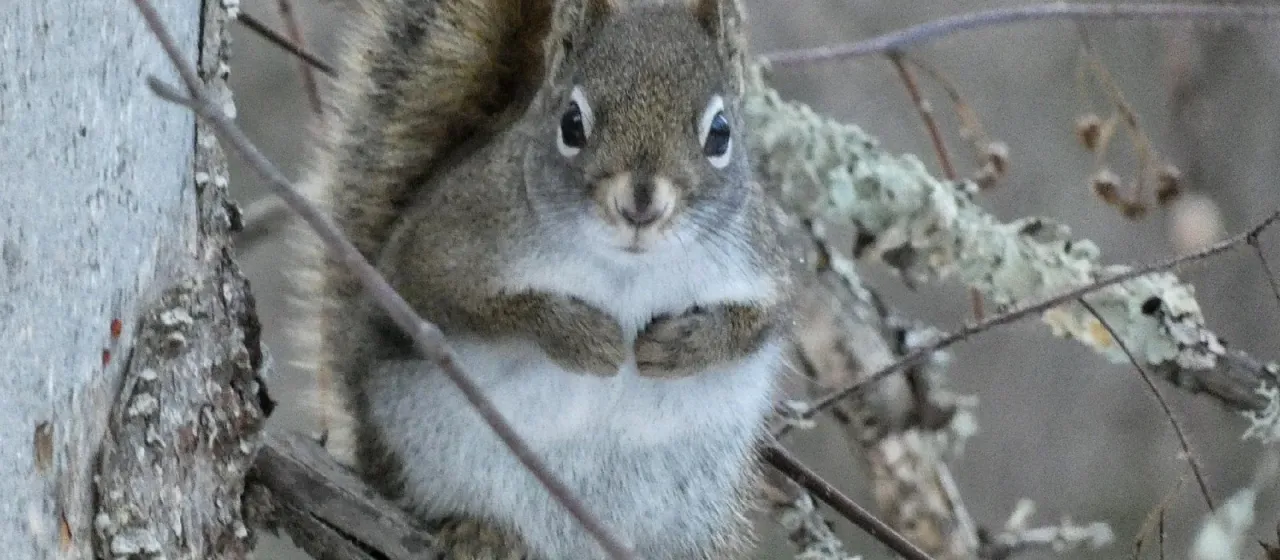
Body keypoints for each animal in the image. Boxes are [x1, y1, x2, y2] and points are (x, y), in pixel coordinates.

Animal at [287, 0, 794, 558]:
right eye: (571, 124)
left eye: (720, 133)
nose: (641, 204)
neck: (628, 266)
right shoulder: (439, 246)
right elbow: (458, 299)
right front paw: (580, 336)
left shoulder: (762, 260)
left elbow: (761, 321)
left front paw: (686, 344)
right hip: (424, 453)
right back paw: (482, 531)